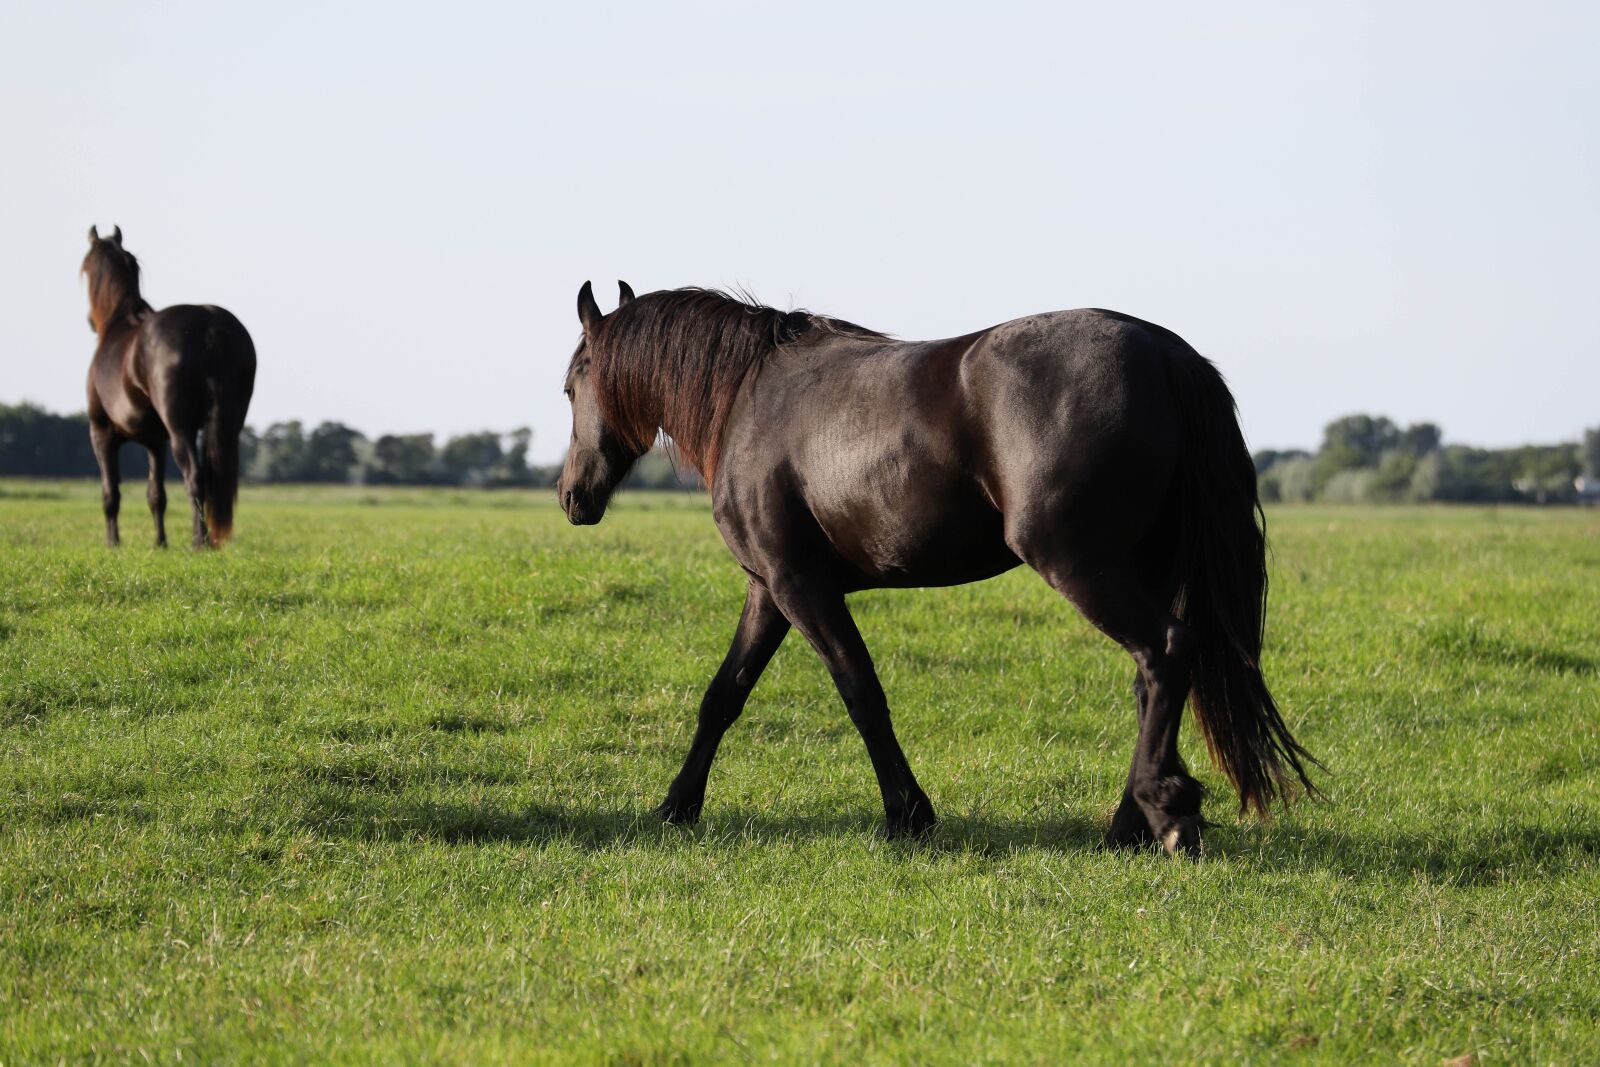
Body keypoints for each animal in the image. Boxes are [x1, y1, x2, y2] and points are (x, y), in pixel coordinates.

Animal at [81, 226, 256, 548]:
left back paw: (199, 541)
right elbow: (156, 495)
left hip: (179, 428)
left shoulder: (101, 433)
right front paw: (160, 543)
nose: (89, 320)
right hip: (228, 425)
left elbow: (111, 493)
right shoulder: (155, 441)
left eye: (86, 267)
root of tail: (209, 323)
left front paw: (113, 543)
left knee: (195, 477)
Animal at [556, 282, 1317, 856]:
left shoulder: (801, 587)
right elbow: (724, 695)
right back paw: (1127, 825)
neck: (748, 399)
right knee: (1151, 677)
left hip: (1080, 563)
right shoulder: (767, 590)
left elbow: (861, 691)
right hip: (1140, 568)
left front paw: (907, 813)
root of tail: (1168, 354)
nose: (572, 496)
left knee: (1164, 650)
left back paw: (1165, 810)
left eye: (570, 386)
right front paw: (677, 806)